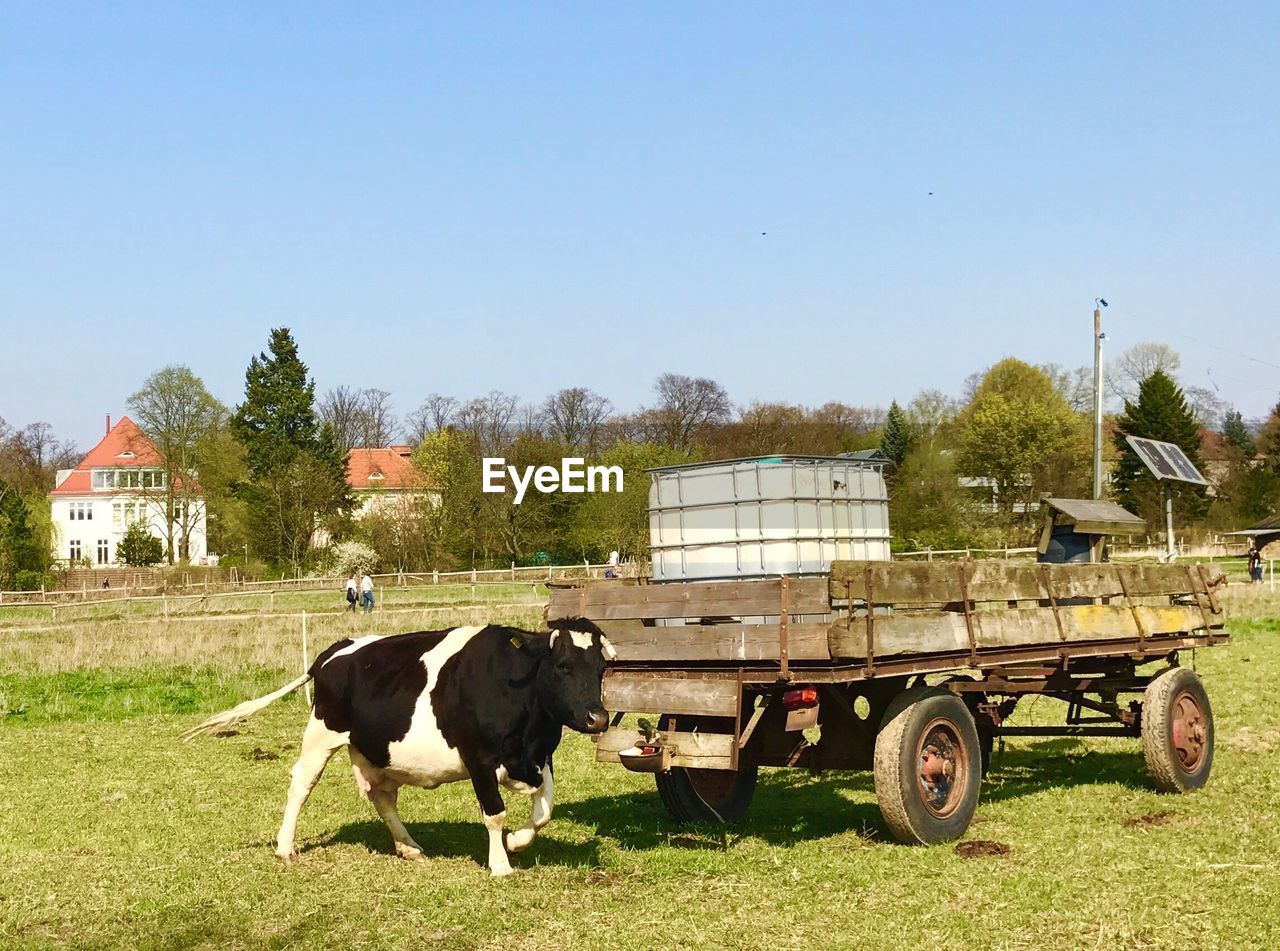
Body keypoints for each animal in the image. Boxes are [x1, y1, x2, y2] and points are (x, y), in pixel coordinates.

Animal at [184, 616, 614, 875]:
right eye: (562, 666)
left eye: (601, 668)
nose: (598, 718)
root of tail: (337, 648)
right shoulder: (479, 759)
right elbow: (494, 813)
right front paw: (501, 864)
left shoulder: (541, 757)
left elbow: (543, 812)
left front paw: (517, 843)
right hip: (321, 735)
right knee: (301, 785)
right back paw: (285, 846)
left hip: (377, 750)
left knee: (381, 796)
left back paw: (408, 846)